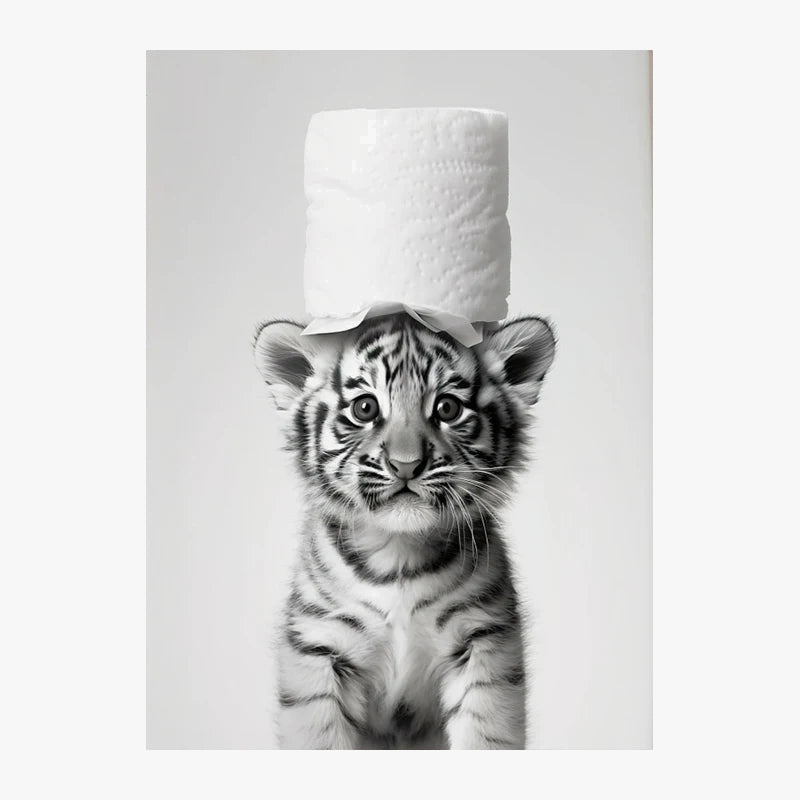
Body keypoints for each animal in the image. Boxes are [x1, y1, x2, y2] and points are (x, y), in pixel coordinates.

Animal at [253, 312, 556, 749]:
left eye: (447, 408)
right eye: (365, 408)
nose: (406, 464)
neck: (398, 553)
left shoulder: (484, 643)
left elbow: (485, 735)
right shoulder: (319, 647)